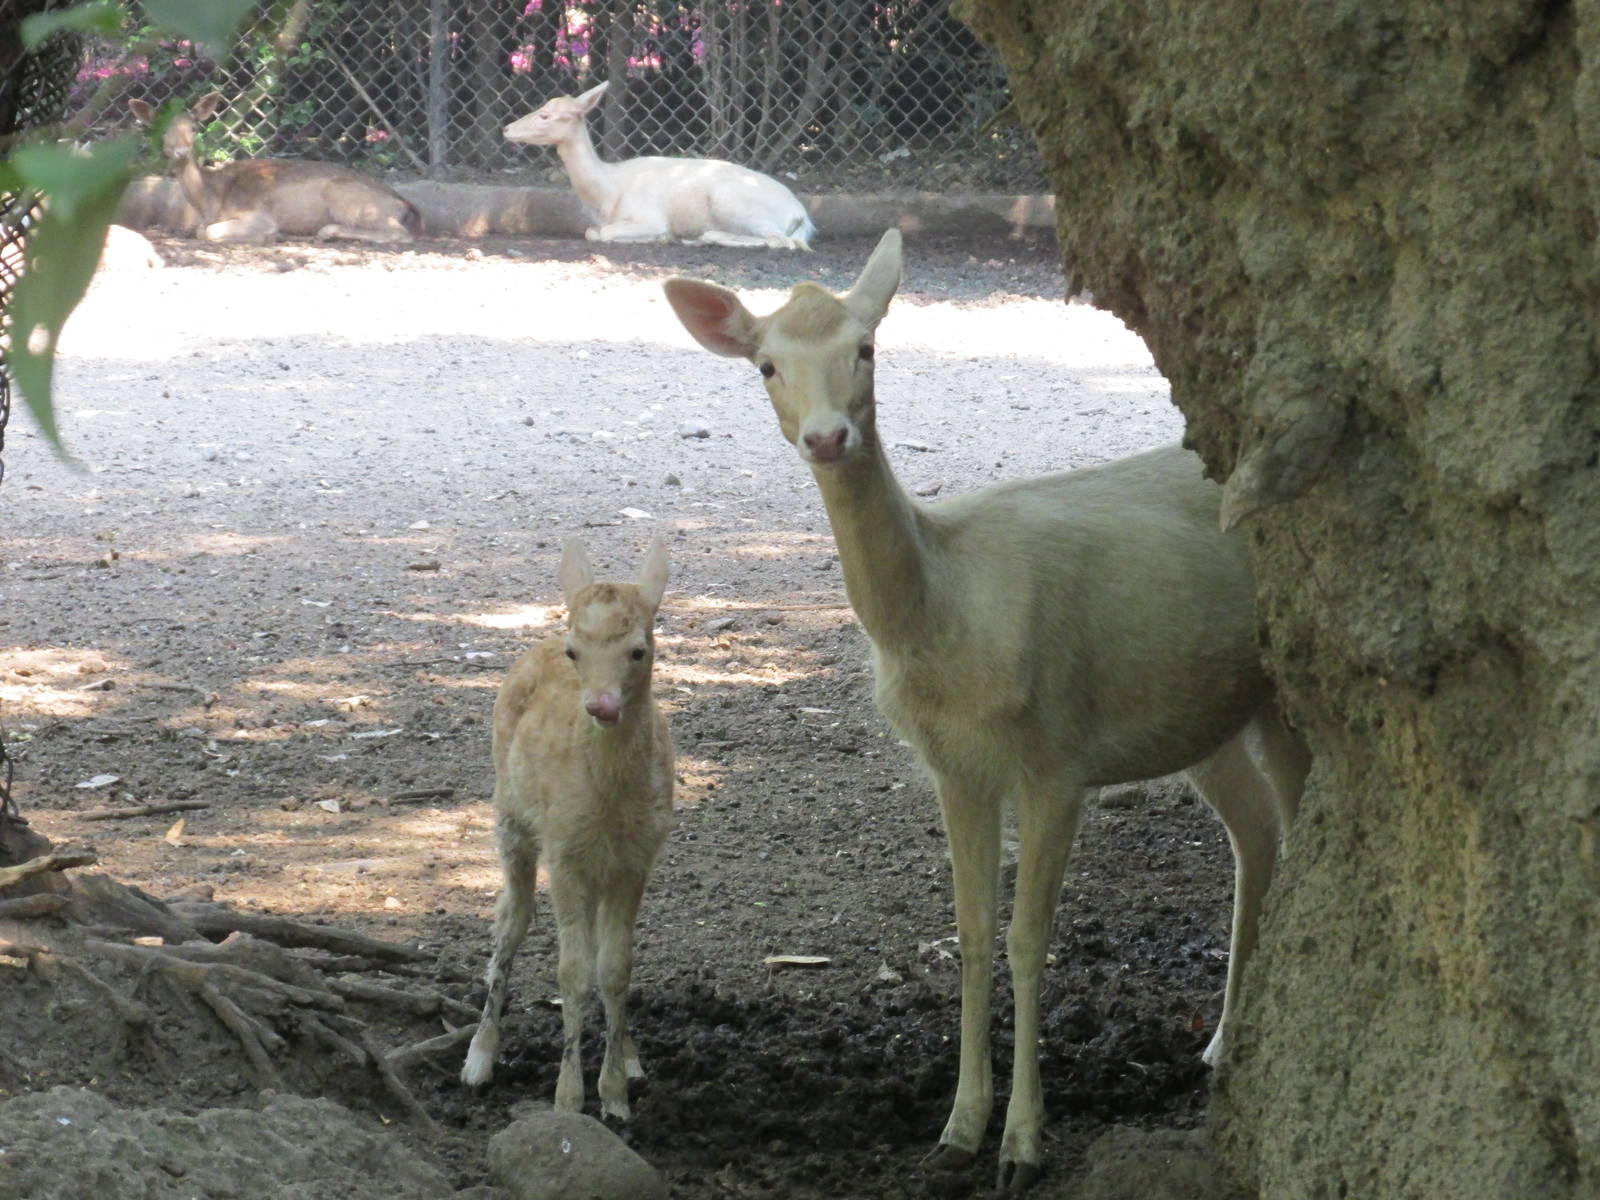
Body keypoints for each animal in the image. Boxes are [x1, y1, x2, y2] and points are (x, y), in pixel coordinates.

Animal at [127, 93, 421, 244]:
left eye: (193, 127)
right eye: (159, 130)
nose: (180, 151)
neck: (211, 200)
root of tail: (404, 204)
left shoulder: (258, 214)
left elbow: (206, 232)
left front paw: (264, 236)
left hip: (348, 198)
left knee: (401, 234)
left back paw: (327, 232)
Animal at [461, 533, 675, 1123]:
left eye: (638, 650)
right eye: (576, 651)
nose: (600, 705)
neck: (607, 805)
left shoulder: (637, 856)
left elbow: (616, 967)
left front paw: (617, 1096)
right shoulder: (565, 851)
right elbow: (571, 973)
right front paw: (568, 1099)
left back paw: (632, 1059)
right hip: (510, 817)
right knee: (510, 919)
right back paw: (478, 1058)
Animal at [504, 80, 814, 250]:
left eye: (545, 115)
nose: (507, 129)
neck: (608, 193)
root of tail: (801, 215)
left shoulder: (649, 216)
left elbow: (601, 233)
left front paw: (660, 237)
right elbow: (591, 231)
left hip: (734, 202)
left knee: (780, 241)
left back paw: (696, 238)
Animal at [662, 230, 1311, 1193]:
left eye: (866, 347)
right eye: (766, 364)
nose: (828, 436)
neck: (947, 624)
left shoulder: (1058, 758)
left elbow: (1027, 938)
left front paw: (1023, 1144)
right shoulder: (953, 767)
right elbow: (969, 933)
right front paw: (958, 1130)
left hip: (1286, 687)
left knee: (1305, 827)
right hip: (1203, 711)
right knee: (1258, 831)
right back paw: (1223, 1042)